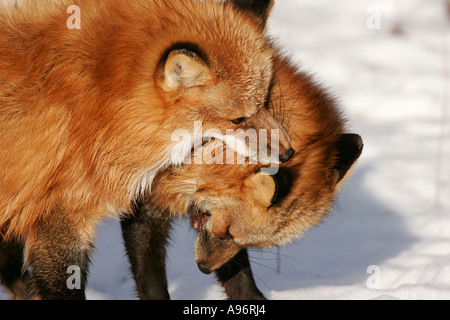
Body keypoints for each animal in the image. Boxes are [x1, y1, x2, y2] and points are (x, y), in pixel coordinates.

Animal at [121, 53, 364, 300]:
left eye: (249, 242)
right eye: (228, 232)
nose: (204, 268)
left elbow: (239, 276)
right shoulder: (141, 204)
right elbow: (151, 282)